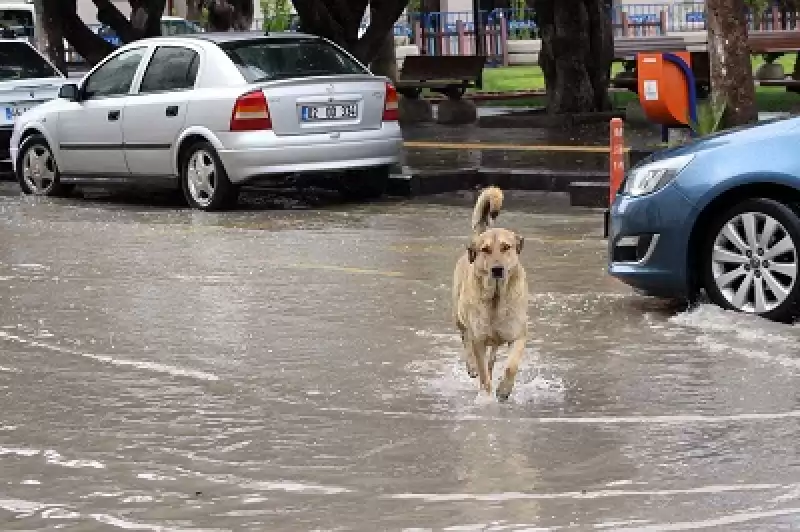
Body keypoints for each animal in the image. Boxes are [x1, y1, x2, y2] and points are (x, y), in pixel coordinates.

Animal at [454, 186, 528, 400]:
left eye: (506, 247)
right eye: (485, 249)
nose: (497, 269)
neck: (496, 298)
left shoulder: (519, 335)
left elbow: (511, 366)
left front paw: (504, 390)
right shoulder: (478, 339)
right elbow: (483, 374)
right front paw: (486, 397)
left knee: (492, 358)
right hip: (459, 316)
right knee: (465, 339)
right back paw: (471, 367)